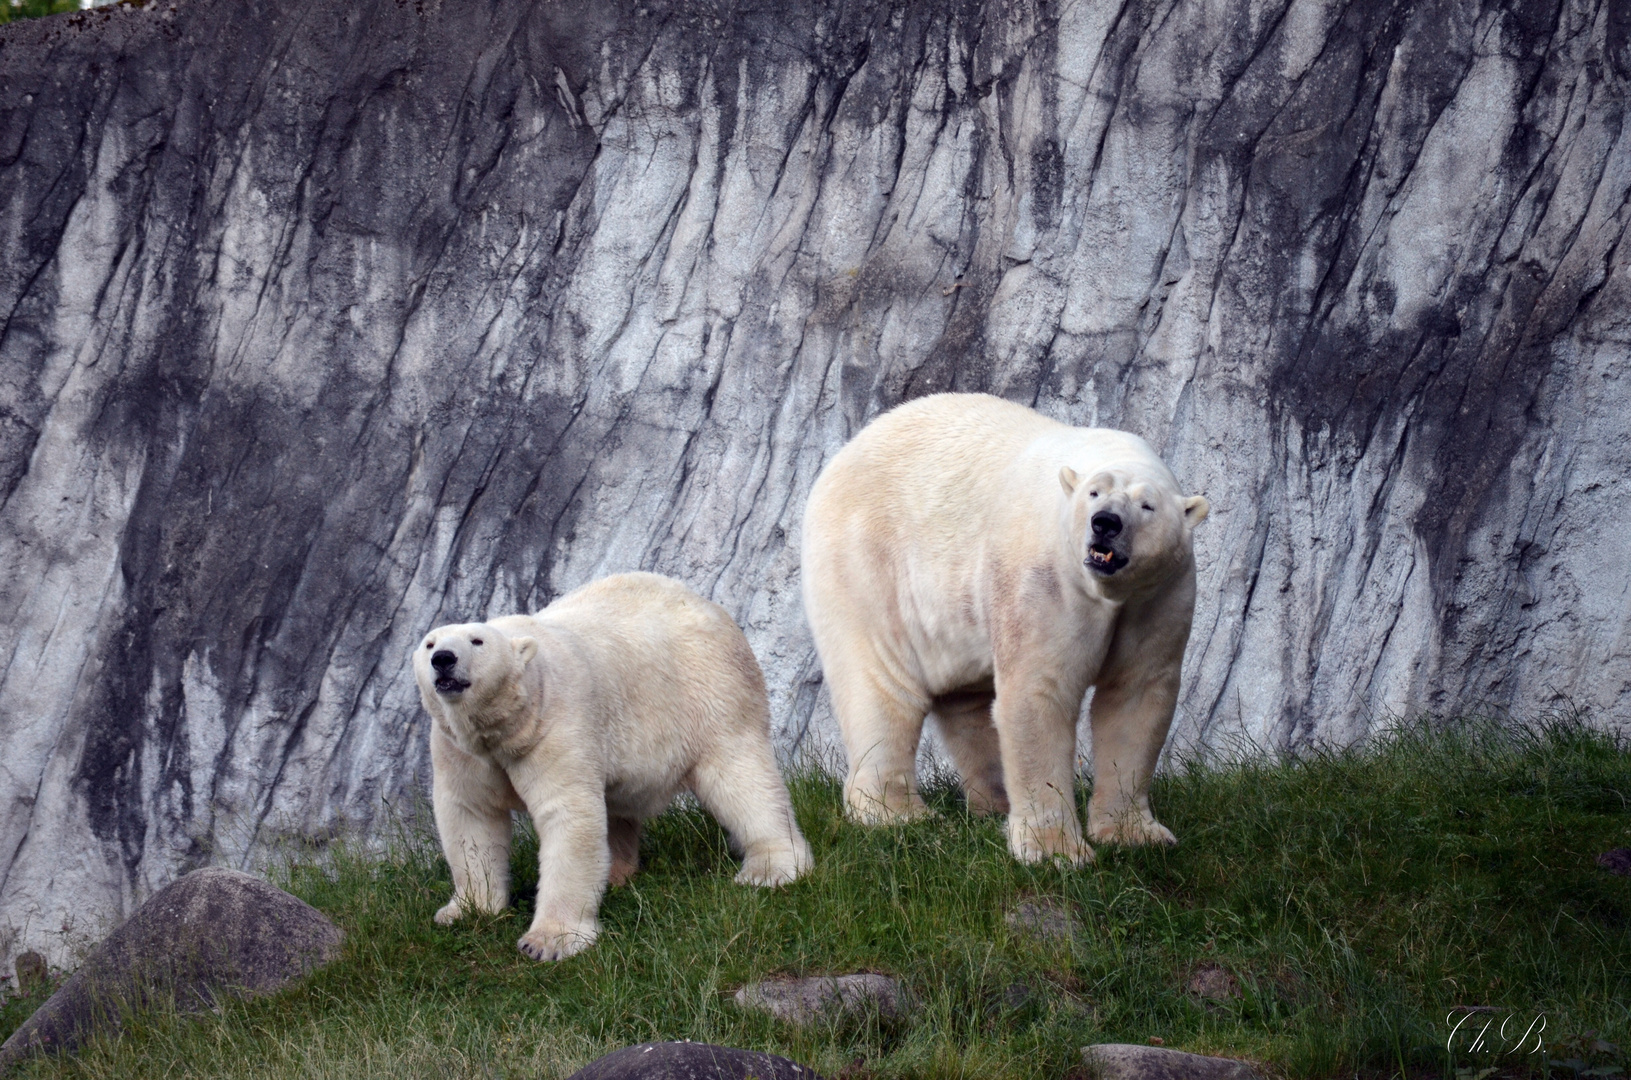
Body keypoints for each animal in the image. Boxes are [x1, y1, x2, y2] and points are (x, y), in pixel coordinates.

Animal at [411, 574, 812, 965]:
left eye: (477, 640)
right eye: (429, 643)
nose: (443, 659)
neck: (508, 725)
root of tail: (707, 604)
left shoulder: (556, 724)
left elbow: (568, 815)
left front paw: (548, 942)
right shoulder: (459, 750)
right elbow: (470, 817)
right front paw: (465, 910)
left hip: (708, 691)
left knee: (740, 779)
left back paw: (772, 868)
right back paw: (617, 872)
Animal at [802, 398, 1213, 874]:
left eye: (1147, 505)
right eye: (1094, 493)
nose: (1105, 523)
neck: (1107, 592)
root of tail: (839, 458)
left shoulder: (1160, 593)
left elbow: (1135, 695)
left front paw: (1137, 835)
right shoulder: (1048, 580)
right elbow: (1038, 693)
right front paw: (1056, 850)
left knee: (966, 701)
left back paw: (993, 804)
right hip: (866, 563)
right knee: (882, 687)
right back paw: (896, 813)